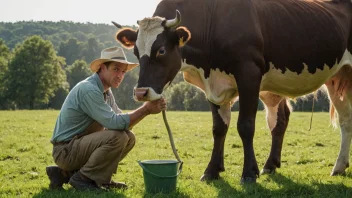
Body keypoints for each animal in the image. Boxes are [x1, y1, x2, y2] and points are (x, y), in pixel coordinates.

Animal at [114, 0, 350, 183]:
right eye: (136, 52)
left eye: (161, 50)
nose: (141, 93)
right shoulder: (213, 86)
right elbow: (219, 128)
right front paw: (212, 171)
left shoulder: (249, 75)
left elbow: (245, 125)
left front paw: (249, 173)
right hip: (332, 79)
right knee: (299, 120)